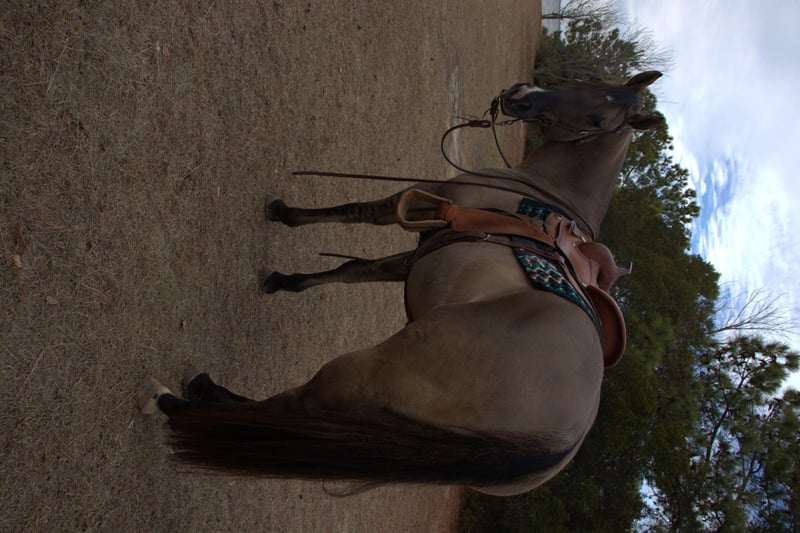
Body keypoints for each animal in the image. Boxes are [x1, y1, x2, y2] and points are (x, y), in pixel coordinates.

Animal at [140, 71, 663, 496]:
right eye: (593, 80)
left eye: (597, 116)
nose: (522, 95)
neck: (540, 194)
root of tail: (561, 442)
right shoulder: (422, 246)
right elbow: (355, 270)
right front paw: (287, 280)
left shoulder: (423, 200)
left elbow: (357, 212)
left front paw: (285, 214)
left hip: (360, 373)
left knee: (287, 408)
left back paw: (181, 400)